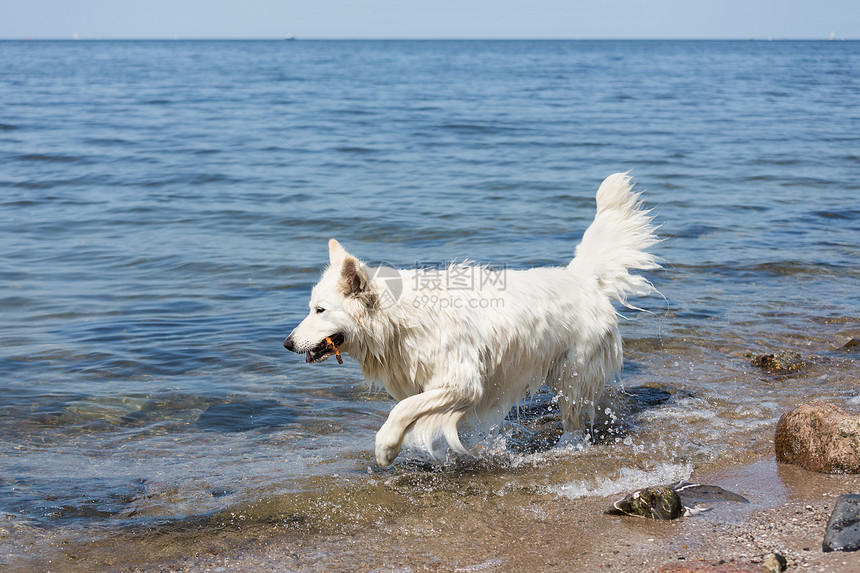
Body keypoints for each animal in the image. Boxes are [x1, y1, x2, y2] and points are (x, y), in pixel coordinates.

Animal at [282, 173, 660, 464]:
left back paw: (569, 445)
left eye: (320, 310)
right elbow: (410, 407)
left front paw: (386, 448)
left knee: (576, 417)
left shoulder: (463, 383)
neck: (399, 320)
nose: (286, 343)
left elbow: (402, 409)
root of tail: (581, 276)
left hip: (572, 372)